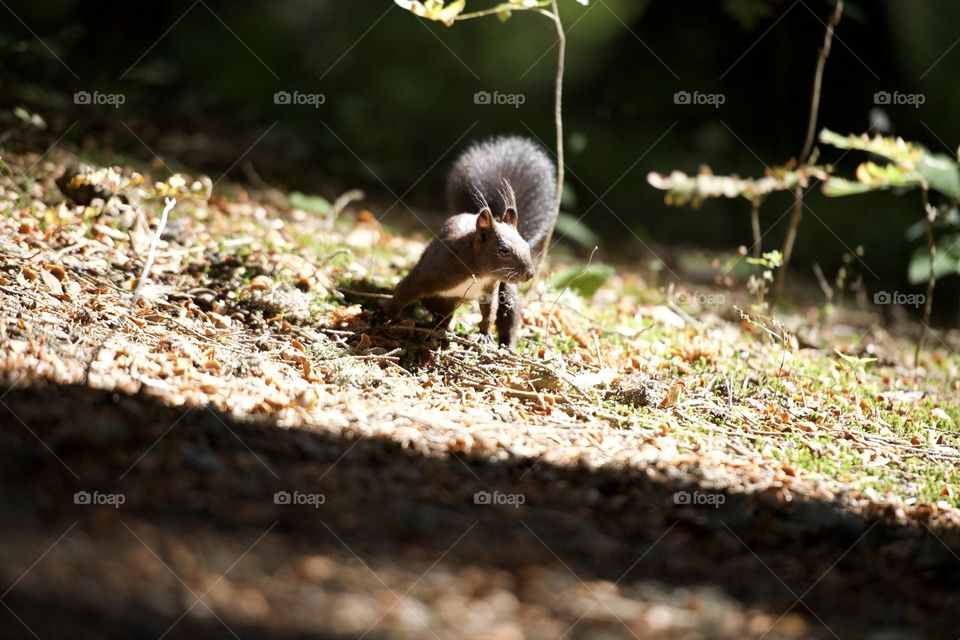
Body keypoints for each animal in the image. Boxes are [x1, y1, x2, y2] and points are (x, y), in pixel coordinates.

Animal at [387, 135, 557, 348]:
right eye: (503, 250)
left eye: (526, 245)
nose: (530, 274)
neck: (478, 272)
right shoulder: (429, 275)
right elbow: (405, 291)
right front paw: (390, 318)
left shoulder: (490, 290)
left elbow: (488, 313)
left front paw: (484, 334)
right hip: (440, 299)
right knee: (441, 314)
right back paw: (435, 329)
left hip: (505, 291)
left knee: (508, 317)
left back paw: (506, 345)